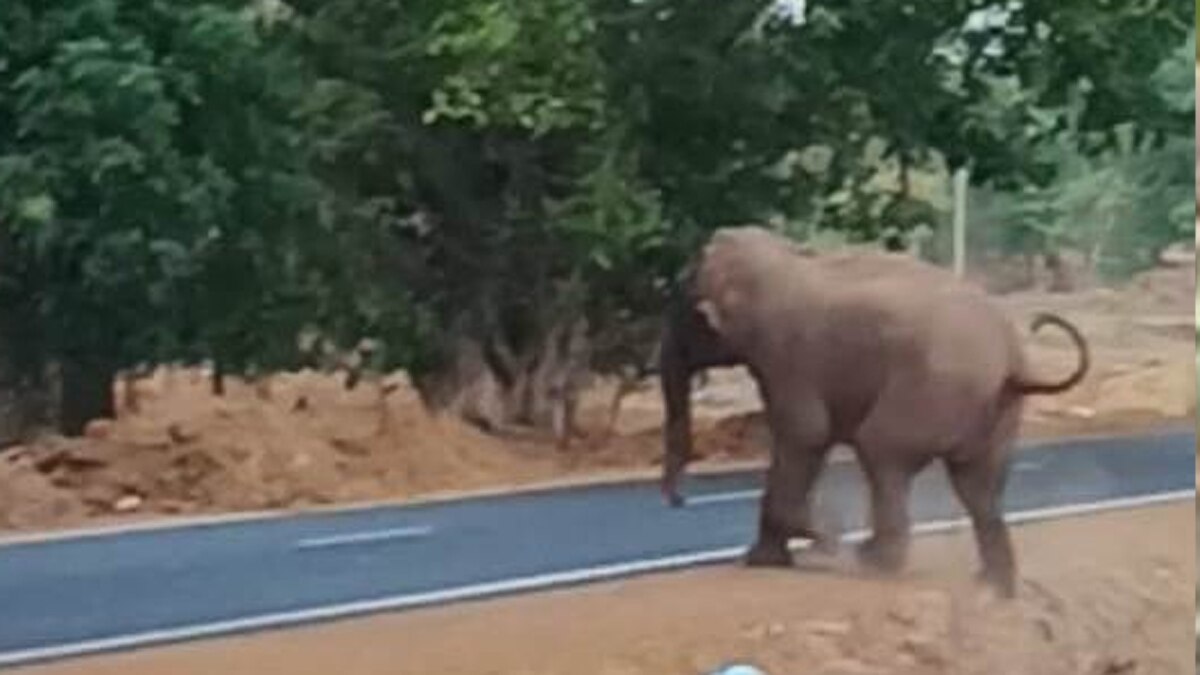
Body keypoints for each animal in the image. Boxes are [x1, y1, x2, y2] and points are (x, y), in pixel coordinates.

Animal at [659, 226, 1090, 598]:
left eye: (684, 317)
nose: (680, 501)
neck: (785, 260)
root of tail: (1011, 361)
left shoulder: (786, 357)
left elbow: (805, 433)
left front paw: (816, 542)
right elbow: (809, 437)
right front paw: (774, 556)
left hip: (931, 390)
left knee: (882, 451)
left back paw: (873, 560)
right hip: (995, 412)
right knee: (977, 487)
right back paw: (992, 586)